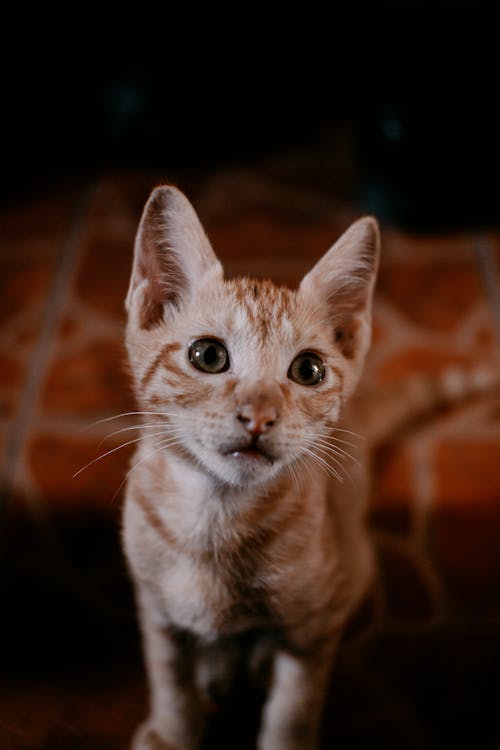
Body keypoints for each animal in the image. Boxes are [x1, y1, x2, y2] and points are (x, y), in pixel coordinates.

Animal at [123, 184, 380, 750]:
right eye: (208, 356)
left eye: (308, 369)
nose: (258, 417)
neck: (213, 519)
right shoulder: (154, 607)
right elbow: (168, 676)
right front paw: (172, 731)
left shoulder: (313, 626)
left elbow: (294, 704)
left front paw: (285, 734)